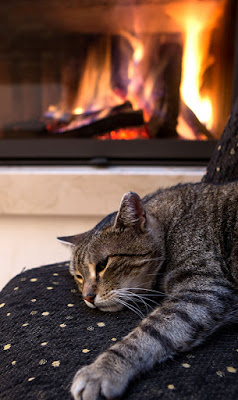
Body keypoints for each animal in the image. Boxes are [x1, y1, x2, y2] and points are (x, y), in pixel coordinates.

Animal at [58, 182, 238, 400]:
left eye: (103, 264)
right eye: (78, 276)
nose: (87, 297)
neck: (171, 228)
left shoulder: (202, 290)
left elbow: (148, 334)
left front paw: (102, 370)